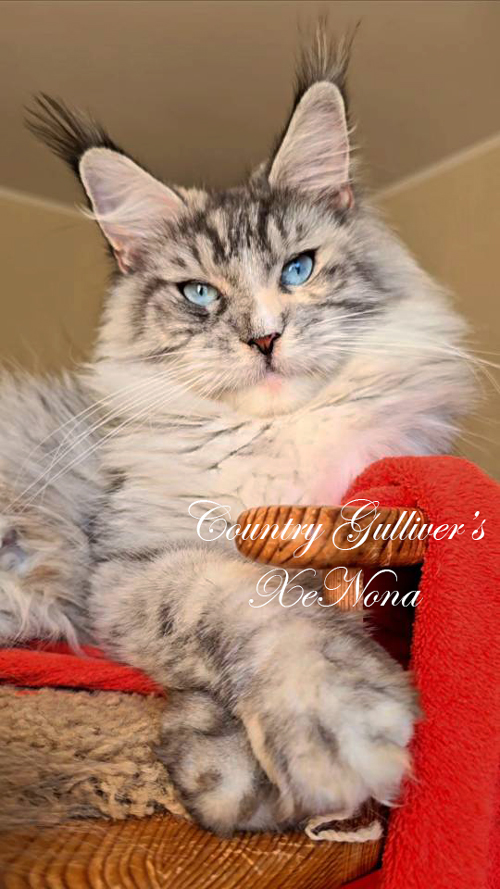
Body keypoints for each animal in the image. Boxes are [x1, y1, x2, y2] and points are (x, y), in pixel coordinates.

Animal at [0, 31, 473, 834]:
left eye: (299, 269)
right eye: (199, 294)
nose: (265, 338)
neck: (275, 440)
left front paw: (223, 764)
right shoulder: (130, 566)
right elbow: (255, 602)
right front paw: (330, 729)